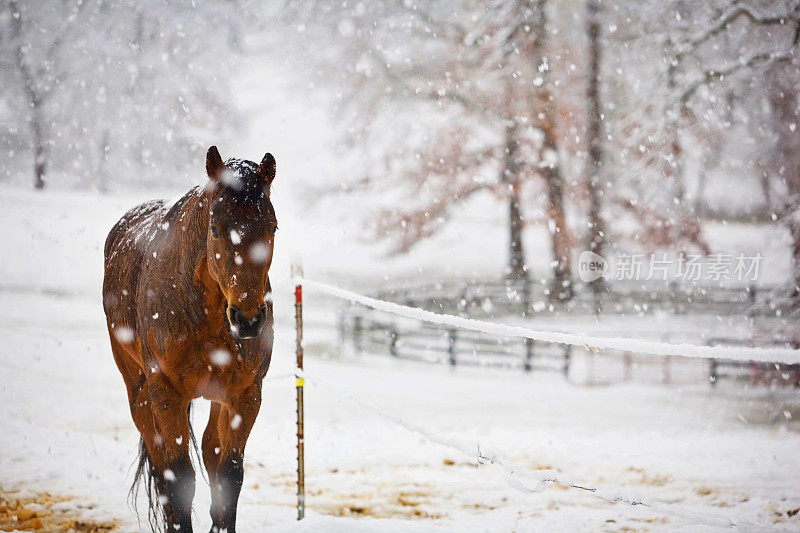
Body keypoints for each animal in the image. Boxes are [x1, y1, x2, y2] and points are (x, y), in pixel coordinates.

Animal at [103, 145, 278, 532]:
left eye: (272, 227)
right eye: (215, 229)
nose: (247, 319)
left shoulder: (246, 394)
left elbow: (229, 474)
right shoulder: (166, 392)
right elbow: (179, 477)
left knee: (211, 452)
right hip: (138, 392)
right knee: (161, 467)